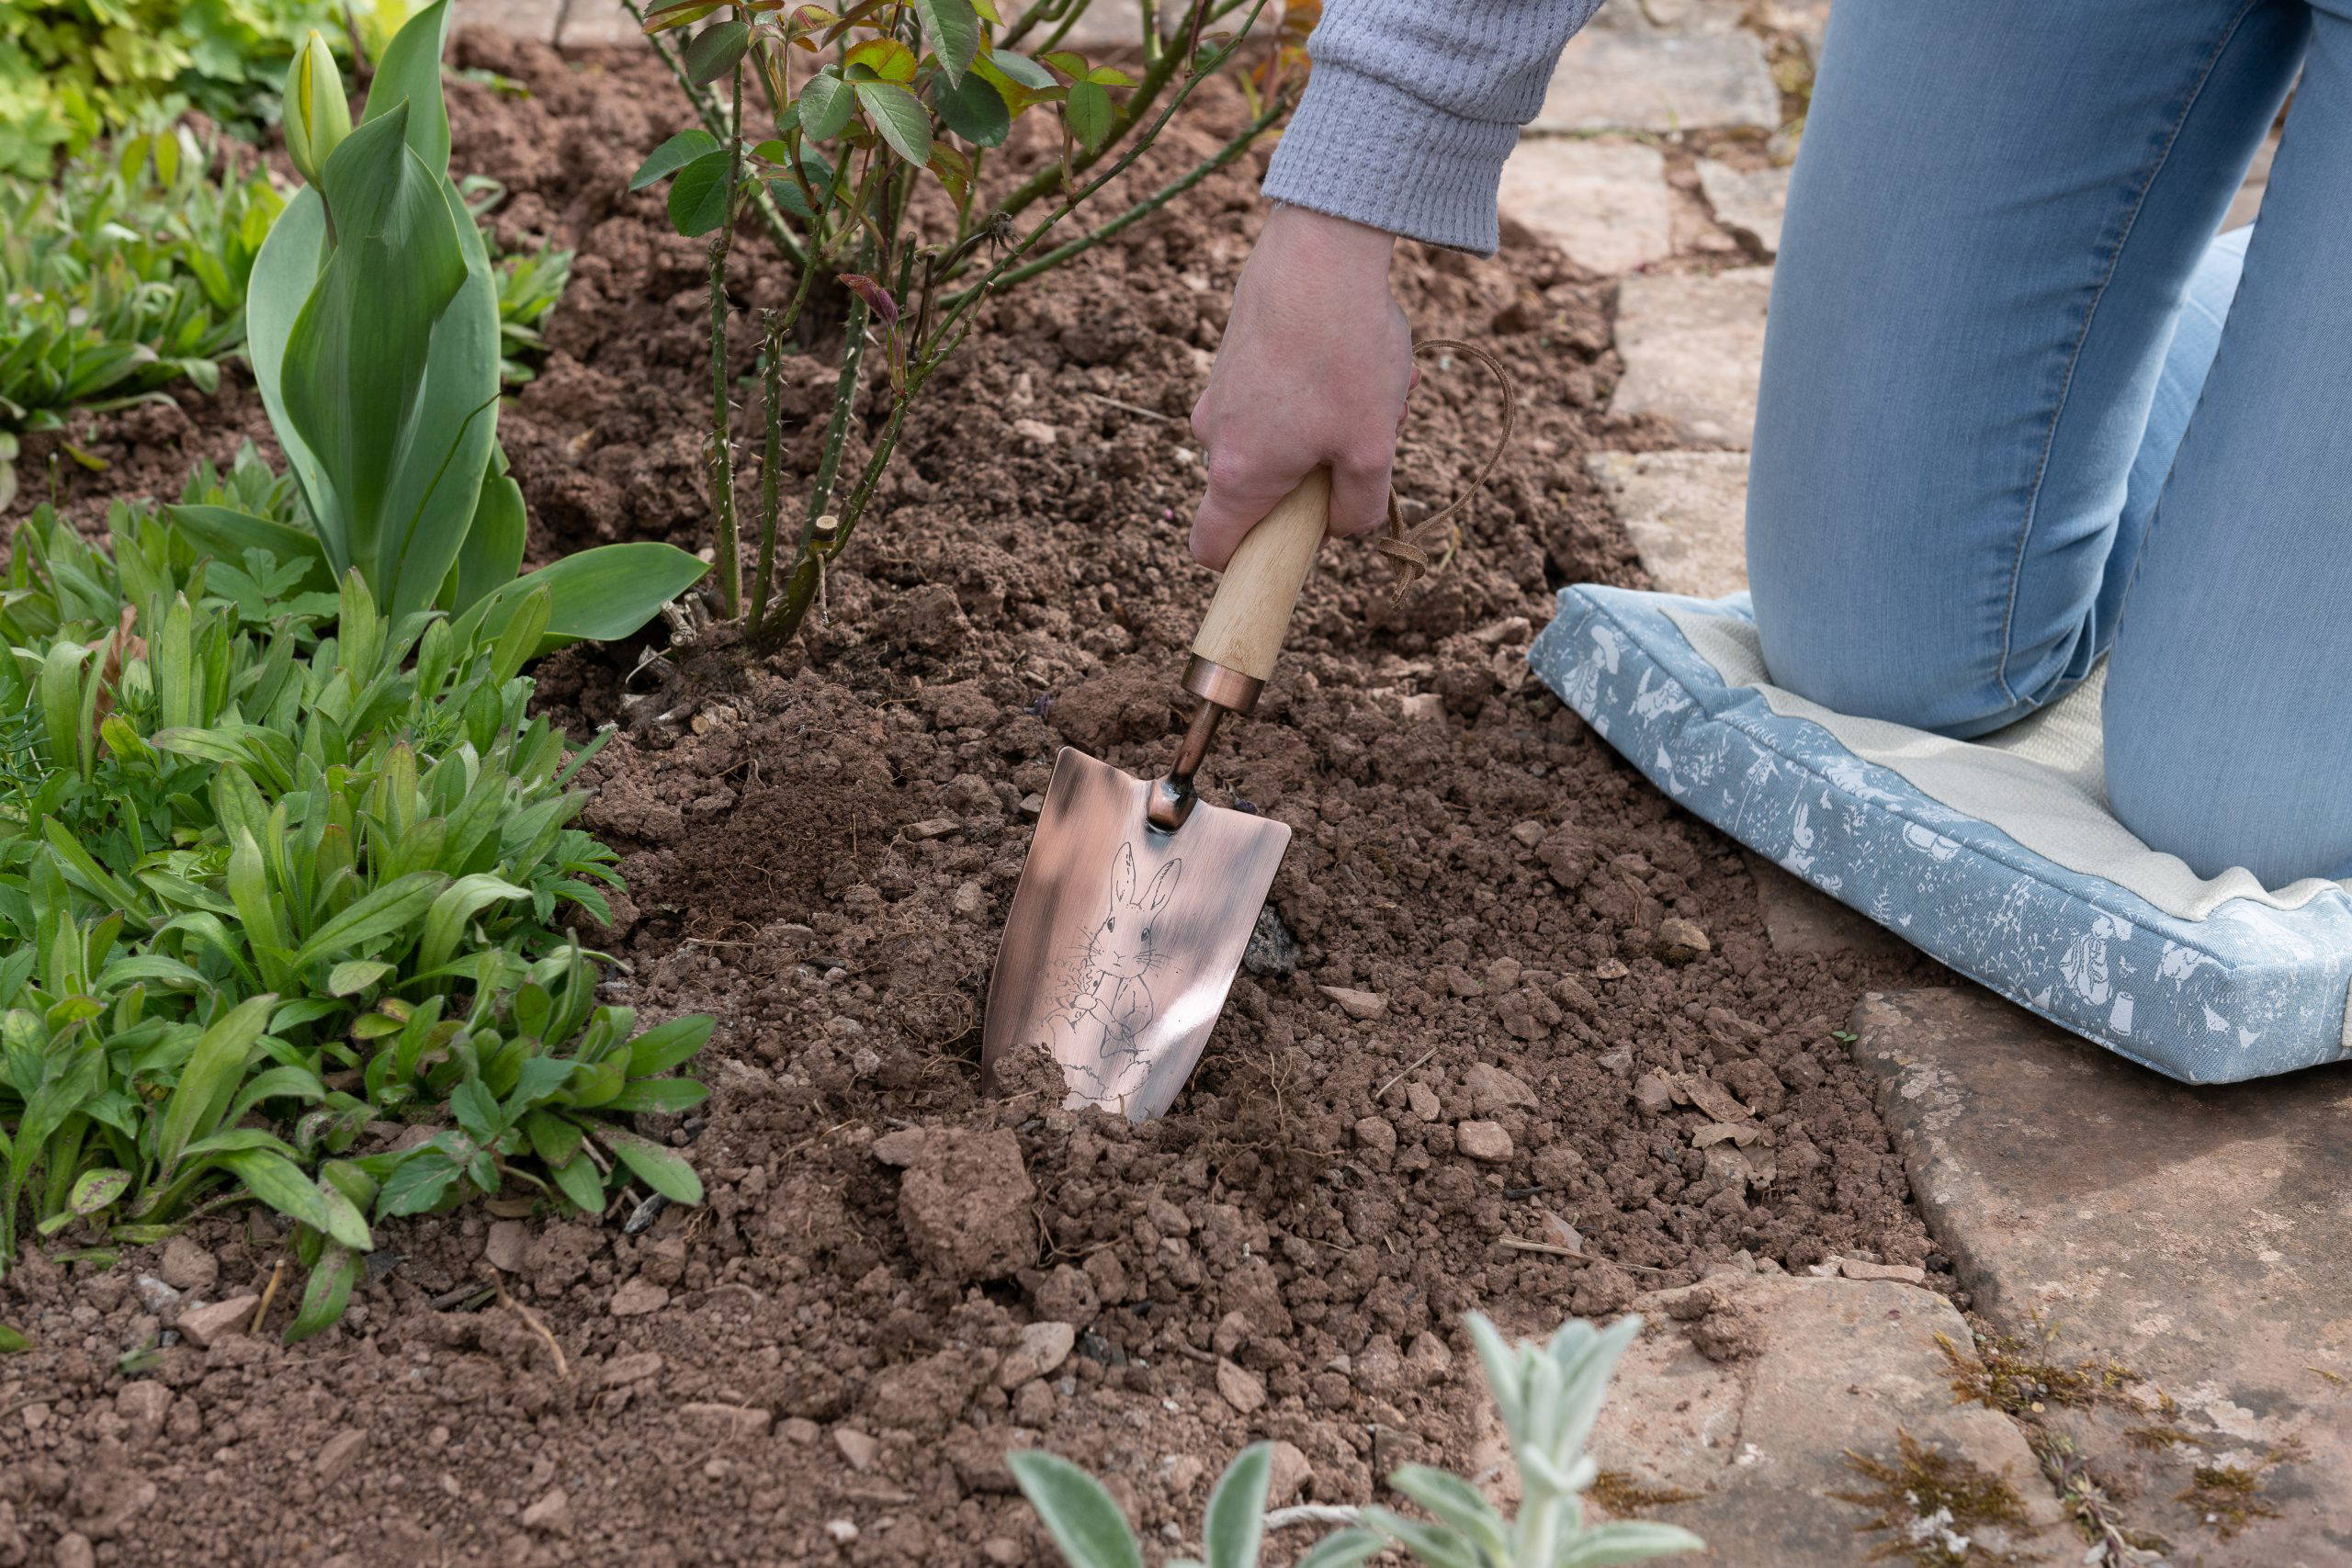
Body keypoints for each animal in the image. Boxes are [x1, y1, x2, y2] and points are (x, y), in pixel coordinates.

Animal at [1046, 843, 1182, 1105]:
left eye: (1145, 934)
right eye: (1110, 923)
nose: (1119, 956)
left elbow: (1140, 1015)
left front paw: (1120, 1030)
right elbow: (1084, 1002)